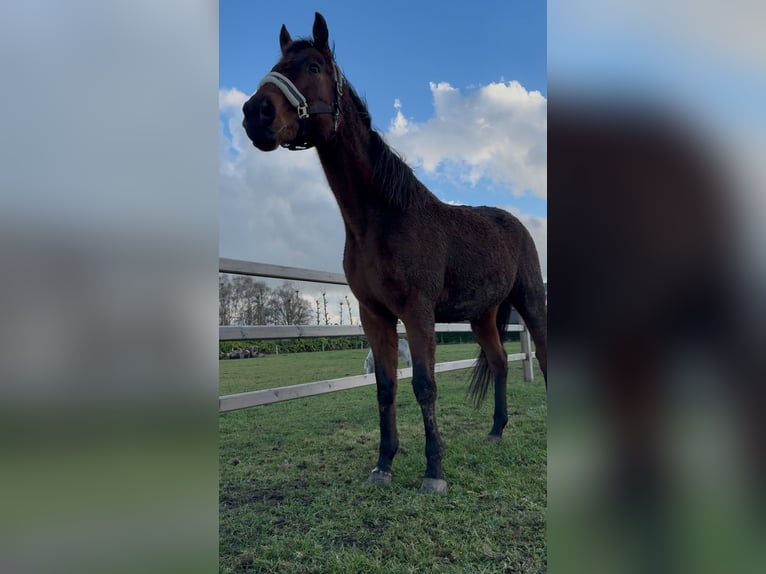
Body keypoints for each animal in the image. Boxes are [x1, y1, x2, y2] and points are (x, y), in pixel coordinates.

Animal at [243, 11, 548, 496]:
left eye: (313, 66)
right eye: (276, 65)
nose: (256, 113)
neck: (384, 218)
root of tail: (514, 223)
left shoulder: (417, 312)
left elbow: (424, 385)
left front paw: (434, 471)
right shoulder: (375, 315)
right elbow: (386, 387)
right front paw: (383, 464)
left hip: (530, 300)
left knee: (546, 352)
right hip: (483, 316)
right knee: (500, 364)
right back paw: (496, 431)